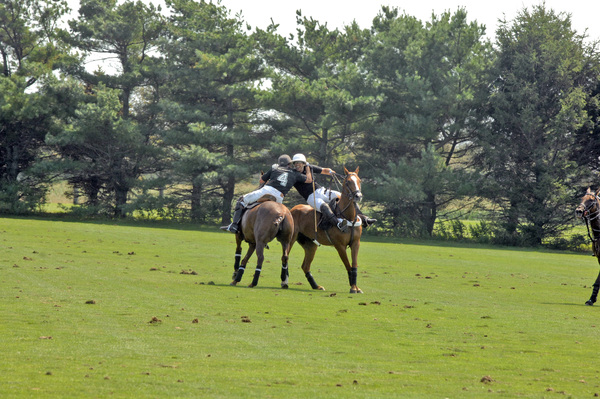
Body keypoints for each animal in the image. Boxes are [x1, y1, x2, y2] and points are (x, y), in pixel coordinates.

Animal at [290, 166, 364, 294]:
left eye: (359, 180)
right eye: (348, 181)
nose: (358, 196)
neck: (348, 217)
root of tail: (292, 209)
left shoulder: (355, 243)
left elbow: (354, 265)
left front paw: (356, 287)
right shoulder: (339, 245)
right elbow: (348, 265)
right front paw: (352, 288)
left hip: (310, 245)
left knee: (305, 266)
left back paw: (316, 286)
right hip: (291, 238)